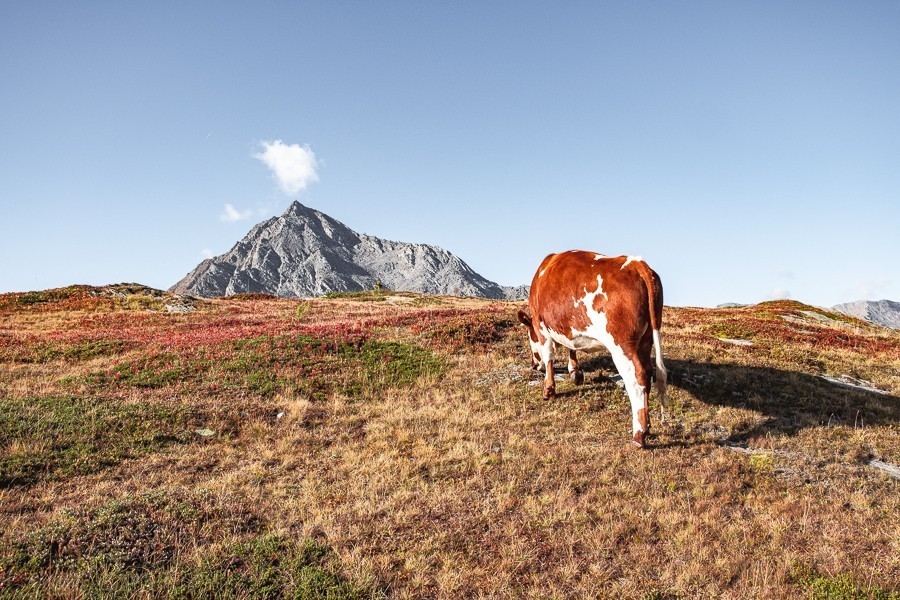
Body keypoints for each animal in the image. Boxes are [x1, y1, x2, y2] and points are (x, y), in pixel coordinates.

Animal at [520, 251, 668, 448]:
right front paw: (575, 372)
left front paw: (548, 390)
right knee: (649, 374)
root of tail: (636, 263)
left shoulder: (541, 325)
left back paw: (639, 435)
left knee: (637, 378)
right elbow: (571, 347)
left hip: (622, 345)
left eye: (530, 336)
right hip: (646, 340)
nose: (533, 365)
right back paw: (648, 427)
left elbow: (549, 356)